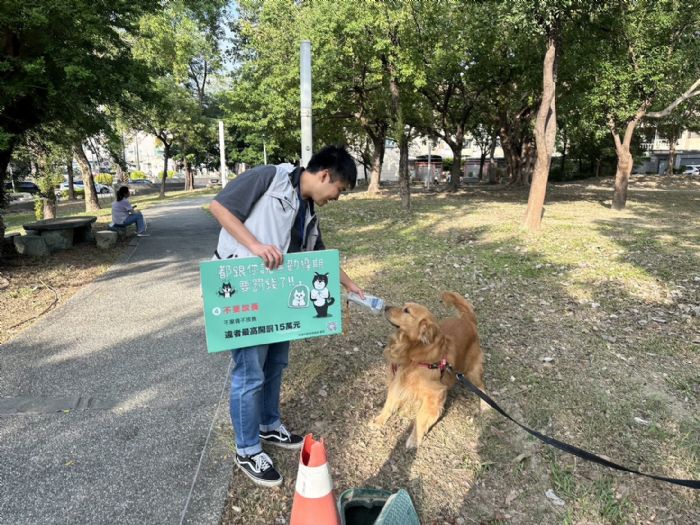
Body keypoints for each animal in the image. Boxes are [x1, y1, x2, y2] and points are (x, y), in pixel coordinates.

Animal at [374, 290, 484, 446]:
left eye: (406, 310)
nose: (385, 307)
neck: (412, 352)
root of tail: (467, 320)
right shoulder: (397, 380)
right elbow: (389, 403)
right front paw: (379, 420)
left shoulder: (435, 393)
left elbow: (421, 418)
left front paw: (414, 439)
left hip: (472, 369)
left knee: (481, 386)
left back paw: (486, 407)